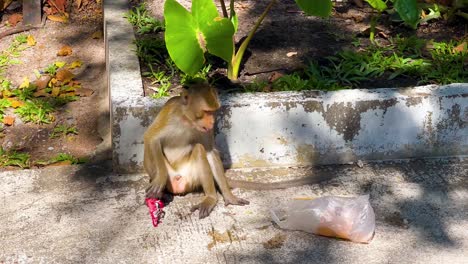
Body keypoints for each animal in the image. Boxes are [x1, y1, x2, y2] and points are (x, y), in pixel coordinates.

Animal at [144, 84, 330, 219]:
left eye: (213, 112)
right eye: (206, 112)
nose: (212, 121)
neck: (187, 120)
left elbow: (209, 151)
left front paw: (228, 195)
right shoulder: (170, 112)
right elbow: (151, 139)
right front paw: (159, 180)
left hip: (191, 177)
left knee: (199, 149)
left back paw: (210, 198)